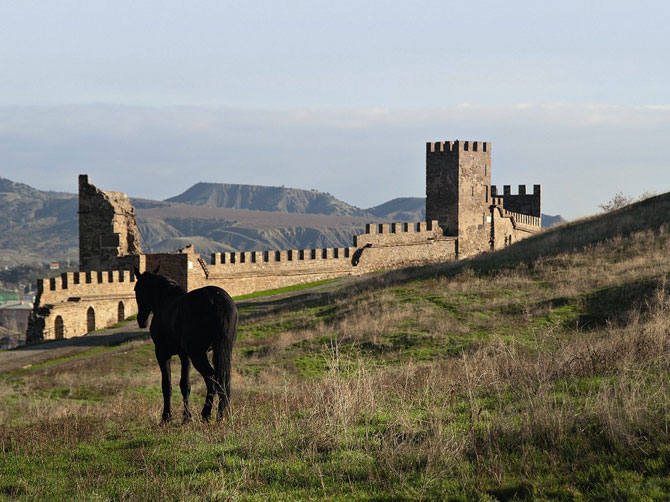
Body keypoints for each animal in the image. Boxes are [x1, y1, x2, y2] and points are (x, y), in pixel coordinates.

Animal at [133, 266, 238, 424]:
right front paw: (187, 417)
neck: (165, 302)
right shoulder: (185, 355)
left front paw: (166, 417)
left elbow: (167, 385)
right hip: (219, 350)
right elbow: (185, 385)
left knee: (212, 379)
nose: (141, 320)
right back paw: (221, 414)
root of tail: (216, 300)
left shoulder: (162, 354)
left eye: (136, 289)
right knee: (222, 379)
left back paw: (208, 414)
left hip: (198, 354)